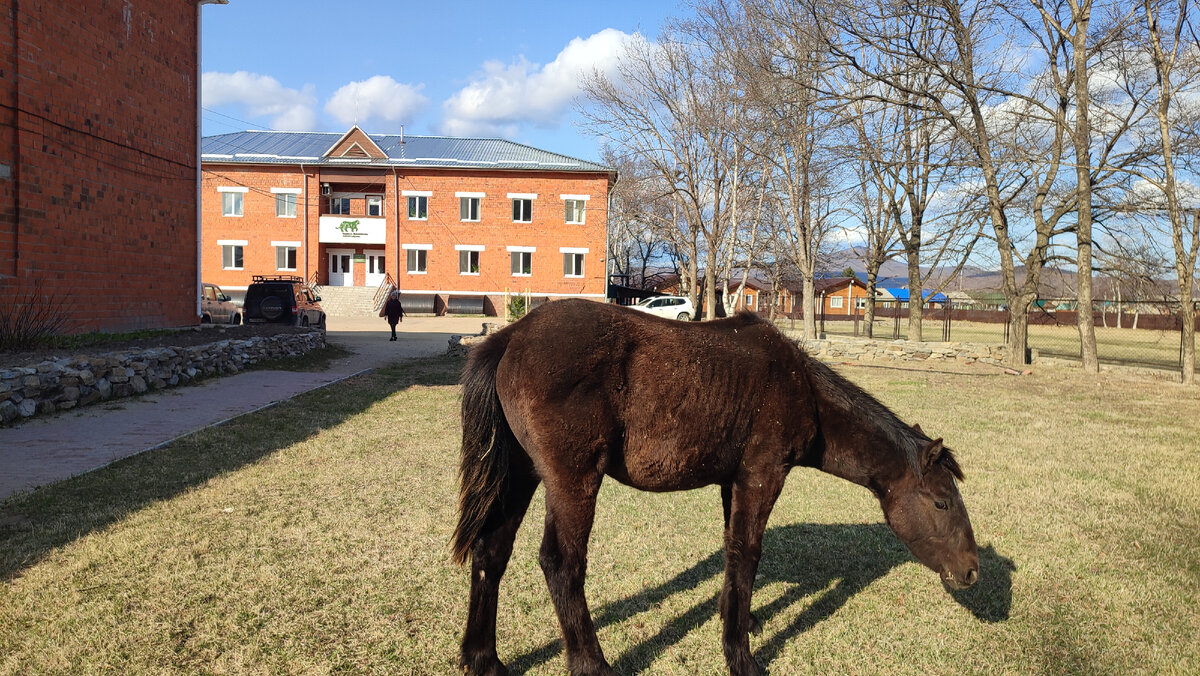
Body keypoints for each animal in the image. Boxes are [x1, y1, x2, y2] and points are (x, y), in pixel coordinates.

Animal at [451, 301, 974, 676]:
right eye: (942, 501)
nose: (971, 572)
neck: (800, 387)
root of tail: (512, 337)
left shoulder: (733, 482)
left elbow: (732, 553)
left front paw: (737, 620)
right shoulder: (762, 476)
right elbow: (747, 554)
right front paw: (741, 657)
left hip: (521, 475)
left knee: (491, 550)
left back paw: (484, 659)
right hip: (573, 481)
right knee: (561, 564)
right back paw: (592, 664)